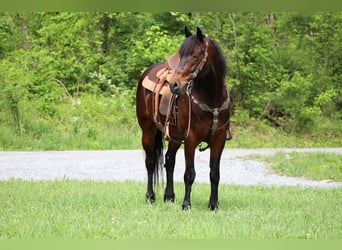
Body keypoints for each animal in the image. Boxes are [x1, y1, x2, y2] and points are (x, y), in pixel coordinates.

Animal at [135, 26, 231, 211]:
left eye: (196, 55)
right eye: (182, 54)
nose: (174, 85)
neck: (212, 99)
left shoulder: (219, 139)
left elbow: (215, 174)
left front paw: (213, 205)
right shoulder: (191, 139)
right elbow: (189, 174)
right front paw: (186, 204)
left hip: (174, 137)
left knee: (169, 160)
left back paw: (169, 196)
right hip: (148, 131)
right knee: (150, 162)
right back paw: (150, 196)